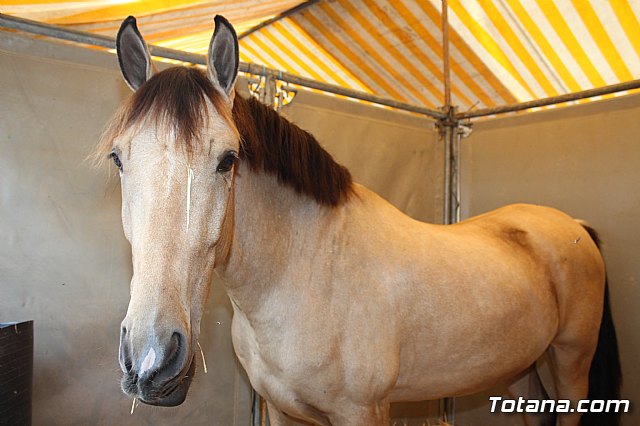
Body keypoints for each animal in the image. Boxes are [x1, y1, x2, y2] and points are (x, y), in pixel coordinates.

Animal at [98, 15, 621, 426]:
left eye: (227, 159)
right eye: (118, 159)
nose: (151, 359)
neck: (304, 272)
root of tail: (572, 225)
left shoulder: (361, 412)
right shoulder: (280, 409)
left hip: (571, 362)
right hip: (517, 370)